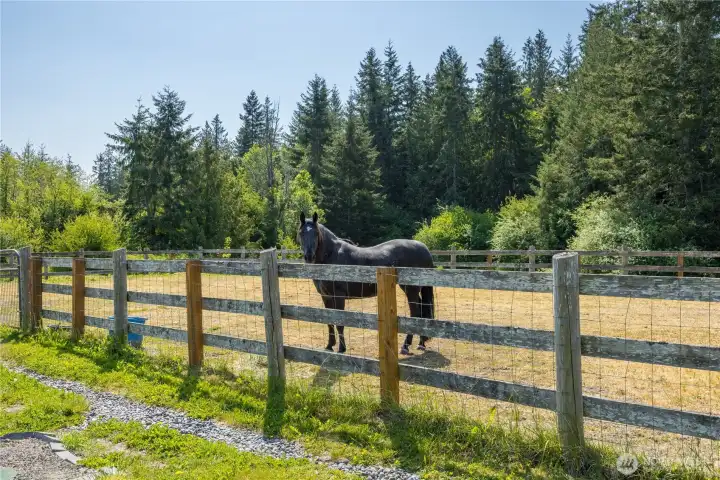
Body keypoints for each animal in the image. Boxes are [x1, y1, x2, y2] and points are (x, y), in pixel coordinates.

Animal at [297, 212, 435, 355]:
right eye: (301, 233)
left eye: (316, 233)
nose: (309, 256)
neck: (330, 256)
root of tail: (424, 249)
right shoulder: (326, 296)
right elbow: (329, 320)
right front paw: (329, 346)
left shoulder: (339, 296)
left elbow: (340, 322)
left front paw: (341, 349)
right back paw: (421, 343)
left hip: (411, 289)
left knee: (415, 314)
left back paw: (406, 346)